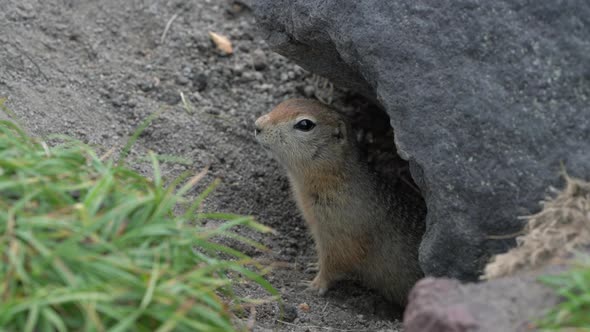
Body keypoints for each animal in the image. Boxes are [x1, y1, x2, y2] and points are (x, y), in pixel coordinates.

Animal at [254, 98, 426, 306]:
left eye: (305, 124)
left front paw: (314, 285)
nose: (257, 125)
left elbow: (334, 262)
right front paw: (314, 265)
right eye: (285, 102)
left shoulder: (341, 233)